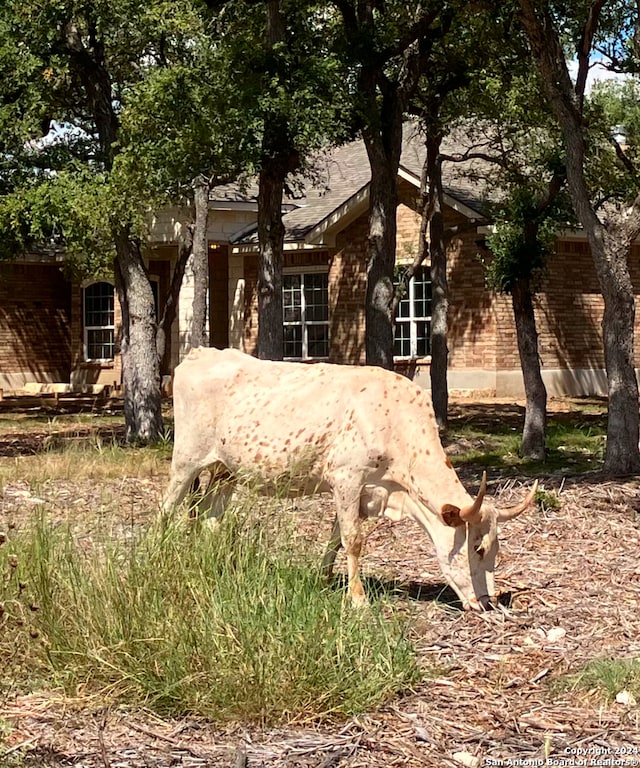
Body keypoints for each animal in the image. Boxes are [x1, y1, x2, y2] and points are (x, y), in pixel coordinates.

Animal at [164, 348, 536, 612]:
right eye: (478, 547)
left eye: (496, 549)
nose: (486, 602)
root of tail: (201, 353)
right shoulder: (346, 478)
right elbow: (353, 539)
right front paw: (358, 599)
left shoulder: (366, 490)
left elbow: (335, 537)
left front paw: (325, 578)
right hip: (186, 458)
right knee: (167, 507)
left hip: (225, 470)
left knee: (211, 517)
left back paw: (214, 562)